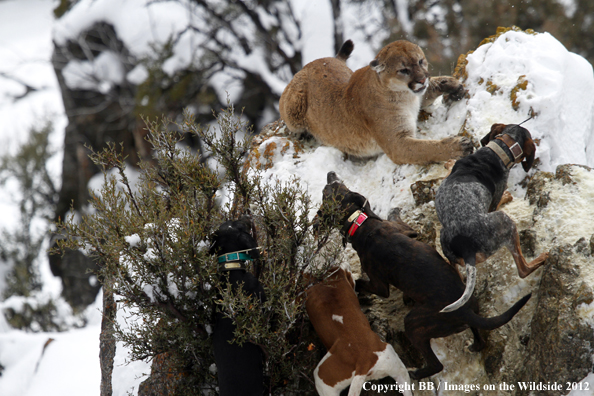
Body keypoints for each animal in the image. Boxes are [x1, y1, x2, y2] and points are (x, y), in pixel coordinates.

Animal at [316, 172, 528, 378]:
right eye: (339, 188)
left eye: (326, 192)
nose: (330, 173)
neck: (360, 224)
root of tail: (465, 311)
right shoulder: (407, 231)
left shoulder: (379, 285)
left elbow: (361, 282)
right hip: (468, 311)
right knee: (478, 335)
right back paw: (475, 344)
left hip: (413, 324)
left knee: (436, 364)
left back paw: (416, 374)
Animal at [434, 124, 544, 312]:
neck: (499, 149)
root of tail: (467, 248)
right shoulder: (495, 200)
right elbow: (500, 199)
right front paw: (507, 196)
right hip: (505, 222)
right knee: (523, 269)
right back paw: (544, 257)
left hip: (445, 240)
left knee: (456, 271)